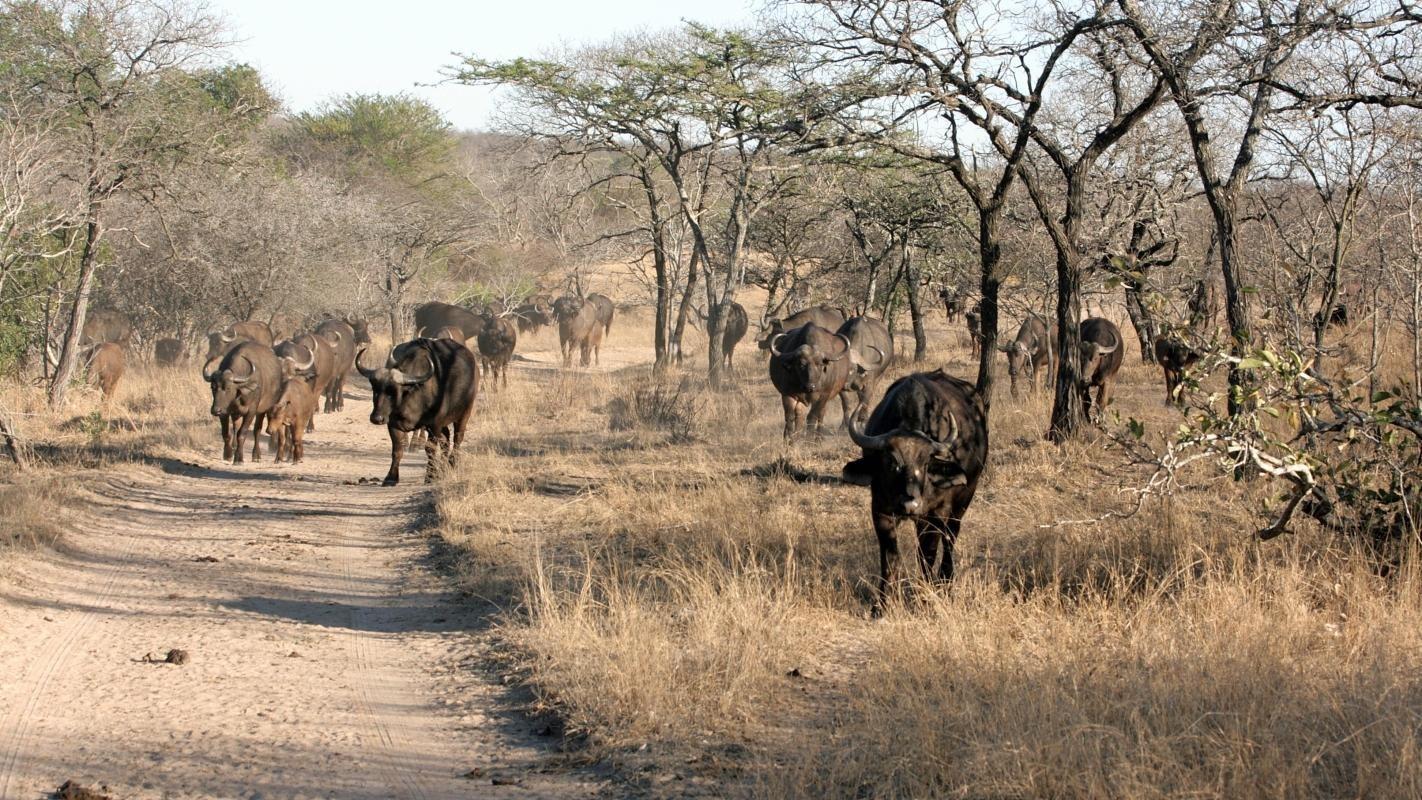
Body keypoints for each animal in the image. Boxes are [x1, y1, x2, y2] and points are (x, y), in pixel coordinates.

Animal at [358, 338, 480, 488]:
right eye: (375, 389)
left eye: (393, 392)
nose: (377, 418)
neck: (411, 395)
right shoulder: (393, 424)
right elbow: (397, 449)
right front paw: (391, 478)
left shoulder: (434, 424)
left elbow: (430, 449)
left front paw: (430, 476)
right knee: (445, 439)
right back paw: (443, 469)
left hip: (464, 413)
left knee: (457, 439)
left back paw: (452, 464)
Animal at [841, 369, 989, 613]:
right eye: (891, 461)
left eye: (926, 463)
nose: (910, 504)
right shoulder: (880, 511)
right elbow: (890, 557)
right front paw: (882, 604)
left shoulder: (934, 515)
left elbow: (926, 556)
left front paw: (926, 599)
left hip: (964, 499)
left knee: (950, 541)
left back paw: (945, 583)